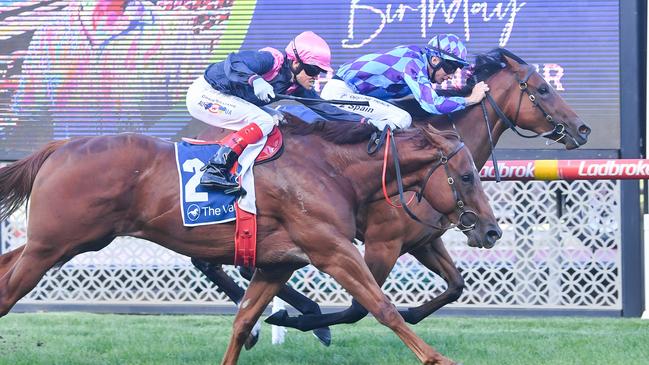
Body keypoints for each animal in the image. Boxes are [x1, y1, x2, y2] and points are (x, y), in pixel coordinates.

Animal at [0, 118, 502, 362]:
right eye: (467, 176)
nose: (491, 230)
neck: (330, 169)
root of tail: (58, 149)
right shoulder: (335, 250)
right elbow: (382, 307)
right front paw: (438, 359)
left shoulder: (278, 263)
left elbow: (243, 322)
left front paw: (281, 323)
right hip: (53, 244)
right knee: (7, 293)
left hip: (65, 241)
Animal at [190, 47, 588, 332]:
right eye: (543, 89)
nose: (582, 129)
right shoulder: (383, 242)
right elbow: (357, 308)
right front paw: (302, 321)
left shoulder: (424, 240)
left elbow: (456, 284)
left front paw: (411, 313)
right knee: (213, 262)